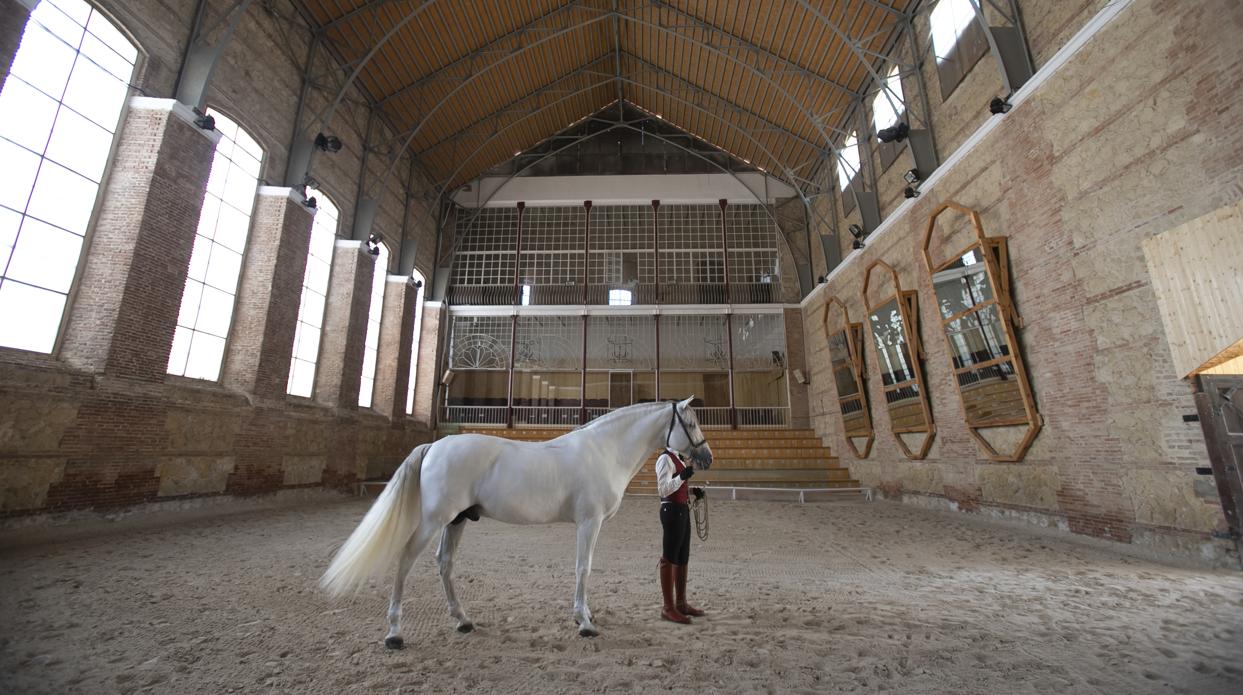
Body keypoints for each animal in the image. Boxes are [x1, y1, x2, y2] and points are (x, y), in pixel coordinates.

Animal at [315, 397, 715, 646]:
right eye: (691, 422)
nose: (707, 457)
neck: (604, 451)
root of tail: (436, 445)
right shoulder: (589, 522)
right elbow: (583, 567)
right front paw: (585, 623)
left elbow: (583, 568)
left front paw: (583, 615)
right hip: (433, 520)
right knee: (406, 561)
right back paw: (395, 633)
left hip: (456, 521)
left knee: (444, 563)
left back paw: (463, 620)